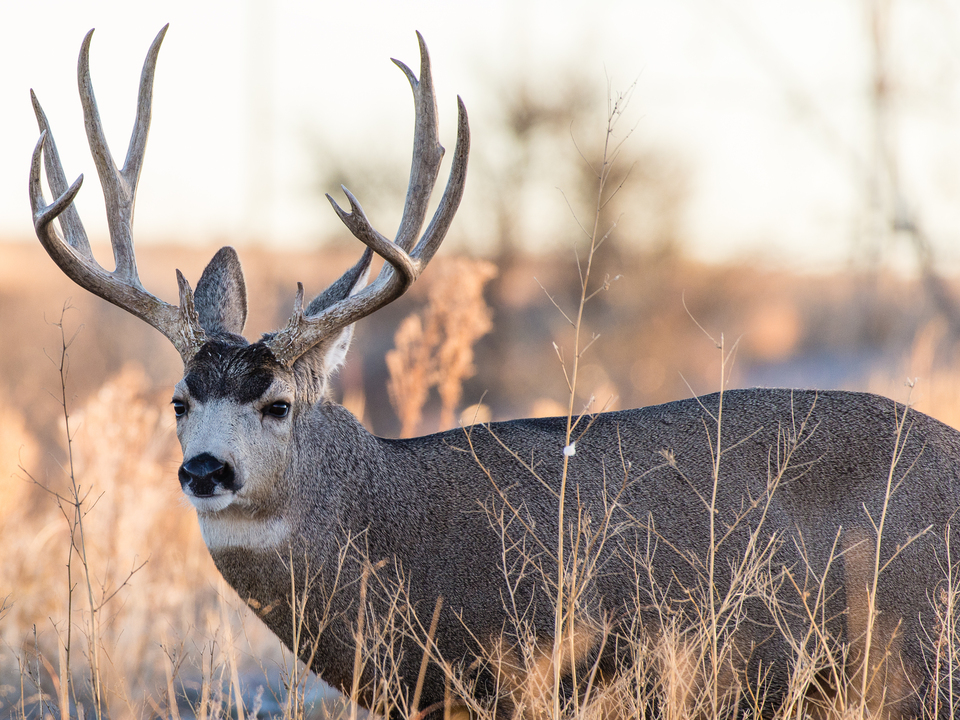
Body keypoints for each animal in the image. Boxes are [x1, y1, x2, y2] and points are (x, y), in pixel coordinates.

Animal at [28, 25, 960, 720]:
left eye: (279, 403)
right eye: (178, 400)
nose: (204, 470)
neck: (394, 528)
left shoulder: (529, 669)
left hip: (915, 652)